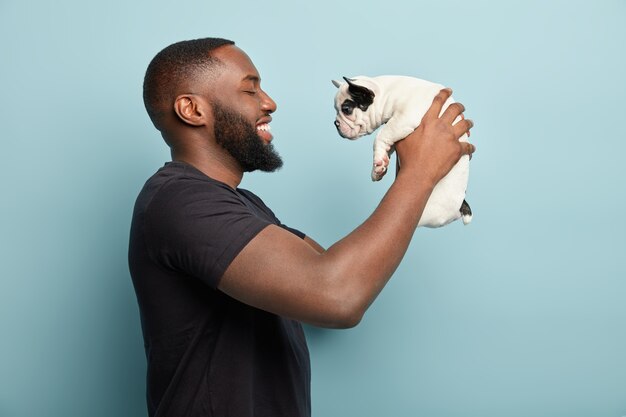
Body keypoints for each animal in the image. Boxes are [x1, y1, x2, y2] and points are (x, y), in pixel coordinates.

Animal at [332, 75, 468, 228]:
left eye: (346, 109)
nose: (335, 123)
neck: (385, 91)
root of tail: (460, 206)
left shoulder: (403, 119)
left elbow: (381, 135)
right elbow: (386, 144)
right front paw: (378, 167)